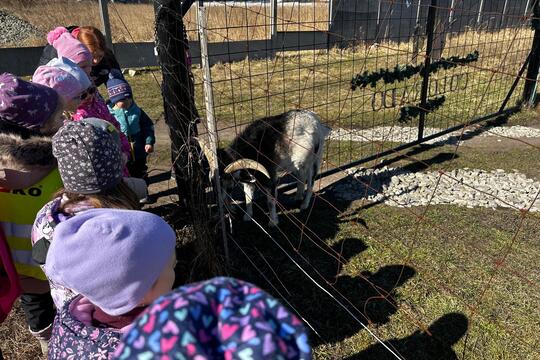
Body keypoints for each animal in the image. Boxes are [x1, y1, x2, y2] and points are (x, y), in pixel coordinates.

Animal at [197, 109, 330, 225]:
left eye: (229, 185)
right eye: (212, 181)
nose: (219, 204)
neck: (254, 148)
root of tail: (316, 121)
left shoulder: (270, 176)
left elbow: (270, 201)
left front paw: (273, 222)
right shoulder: (249, 177)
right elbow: (248, 197)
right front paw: (248, 216)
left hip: (314, 159)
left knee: (311, 180)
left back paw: (304, 205)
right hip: (299, 164)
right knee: (301, 177)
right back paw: (297, 197)